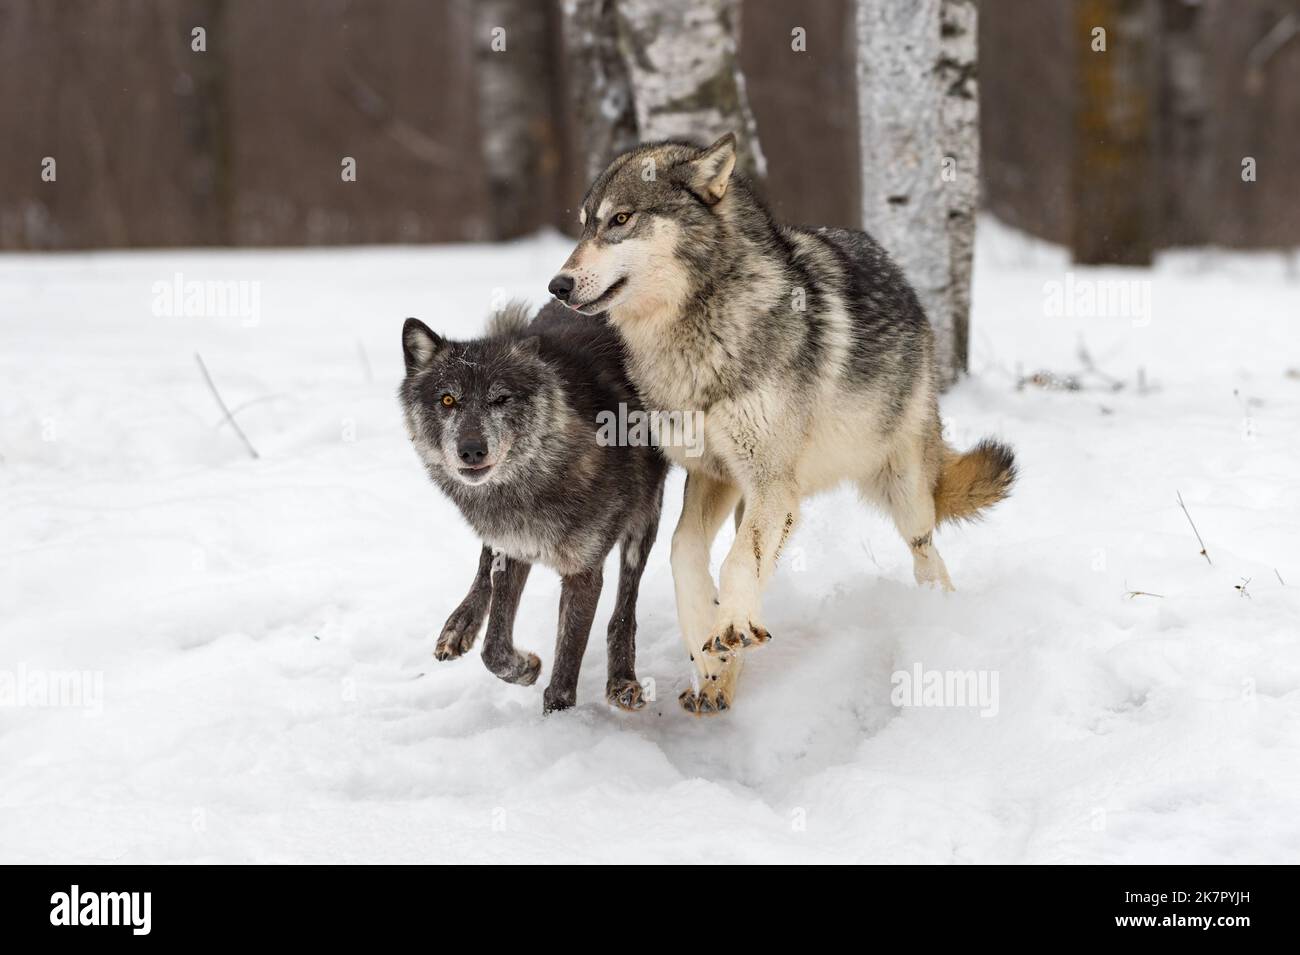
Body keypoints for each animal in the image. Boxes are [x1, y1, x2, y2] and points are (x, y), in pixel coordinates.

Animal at [398, 300, 668, 713]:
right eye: (447, 400)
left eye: (501, 399)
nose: (471, 450)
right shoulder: (512, 548)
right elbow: (493, 648)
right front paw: (526, 669)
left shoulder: (584, 572)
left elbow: (567, 661)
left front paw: (557, 715)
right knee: (484, 562)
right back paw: (460, 625)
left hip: (644, 521)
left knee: (625, 606)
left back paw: (622, 679)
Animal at [548, 133, 1016, 715]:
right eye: (584, 225)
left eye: (621, 219)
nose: (558, 285)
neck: (696, 337)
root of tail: (900, 274)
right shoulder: (715, 476)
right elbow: (685, 555)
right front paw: (707, 649)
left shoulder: (773, 483)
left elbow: (735, 565)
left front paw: (728, 628)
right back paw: (720, 681)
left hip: (904, 494)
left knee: (928, 556)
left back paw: (938, 615)